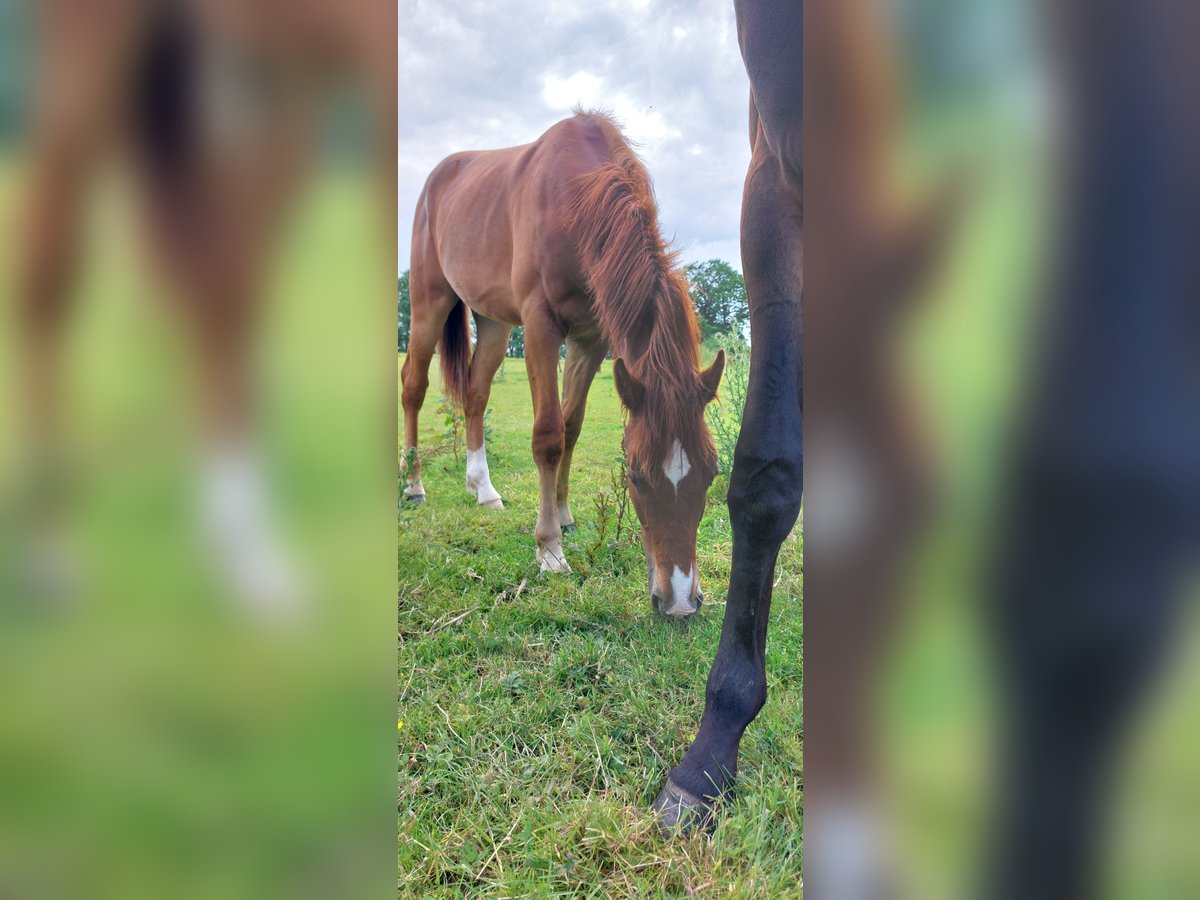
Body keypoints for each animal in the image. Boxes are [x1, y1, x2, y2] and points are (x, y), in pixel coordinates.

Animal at [403, 111, 720, 614]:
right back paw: (413, 486)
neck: (576, 198)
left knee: (475, 396)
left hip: (493, 323)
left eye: (712, 473)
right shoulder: (540, 326)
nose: (680, 603)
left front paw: (566, 516)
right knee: (413, 386)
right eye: (635, 475)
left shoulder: (591, 338)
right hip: (428, 302)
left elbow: (572, 426)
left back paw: (482, 489)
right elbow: (549, 435)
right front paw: (550, 549)